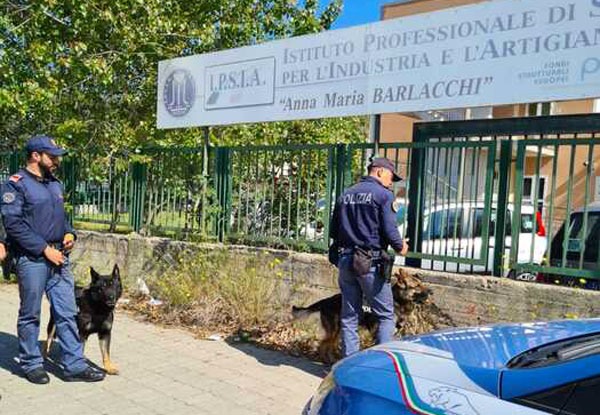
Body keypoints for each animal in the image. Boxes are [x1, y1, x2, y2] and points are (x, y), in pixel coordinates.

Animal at [292, 270, 434, 364]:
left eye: (421, 284)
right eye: (417, 286)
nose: (431, 292)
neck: (397, 301)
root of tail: (326, 300)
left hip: (339, 331)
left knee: (328, 345)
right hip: (334, 331)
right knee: (323, 345)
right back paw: (327, 361)